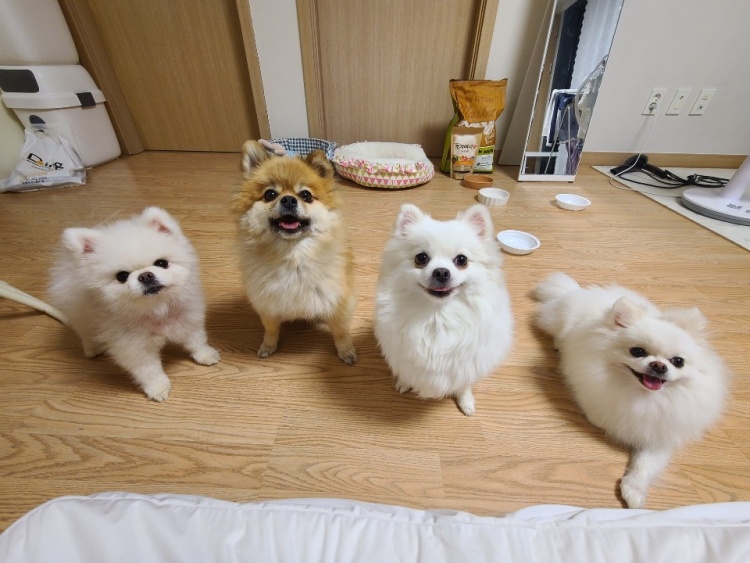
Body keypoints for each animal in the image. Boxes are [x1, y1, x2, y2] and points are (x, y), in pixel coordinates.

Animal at [48, 207, 219, 401]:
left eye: (162, 263)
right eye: (122, 276)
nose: (145, 275)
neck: (155, 309)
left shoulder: (187, 319)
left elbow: (196, 341)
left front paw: (205, 355)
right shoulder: (133, 347)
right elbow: (148, 370)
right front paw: (157, 388)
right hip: (79, 313)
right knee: (85, 331)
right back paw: (92, 348)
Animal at [233, 141, 356, 364]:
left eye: (306, 195)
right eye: (270, 194)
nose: (289, 200)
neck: (292, 257)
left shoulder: (338, 300)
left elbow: (340, 331)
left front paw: (346, 351)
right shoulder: (267, 304)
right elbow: (271, 329)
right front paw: (268, 345)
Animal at [374, 203, 513, 415]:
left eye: (462, 260)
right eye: (421, 258)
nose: (441, 272)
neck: (438, 315)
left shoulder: (466, 364)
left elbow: (464, 384)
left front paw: (466, 401)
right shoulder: (404, 354)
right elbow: (406, 371)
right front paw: (404, 383)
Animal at [533, 272, 729, 508]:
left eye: (678, 361)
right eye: (637, 351)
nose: (659, 365)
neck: (643, 397)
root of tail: (577, 291)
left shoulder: (661, 433)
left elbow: (645, 464)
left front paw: (633, 491)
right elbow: (599, 413)